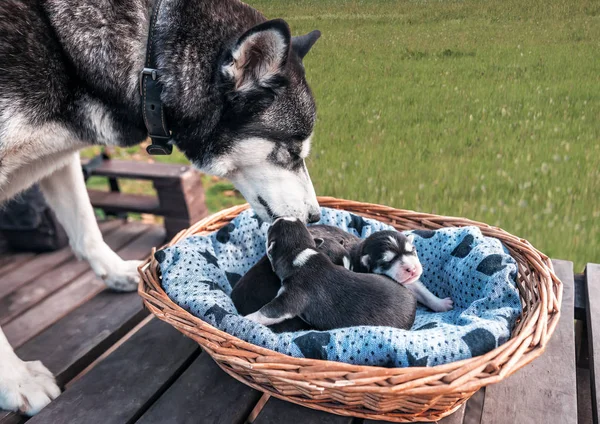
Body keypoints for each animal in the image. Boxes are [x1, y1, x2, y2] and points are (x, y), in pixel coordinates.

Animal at [0, 0, 324, 414]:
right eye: (292, 150)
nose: (315, 216)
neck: (147, 64)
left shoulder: (60, 158)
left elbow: (87, 228)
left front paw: (112, 271)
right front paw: (16, 380)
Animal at [244, 219, 418, 332]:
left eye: (270, 230)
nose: (277, 218)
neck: (302, 253)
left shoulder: (289, 299)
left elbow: (266, 311)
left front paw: (246, 319)